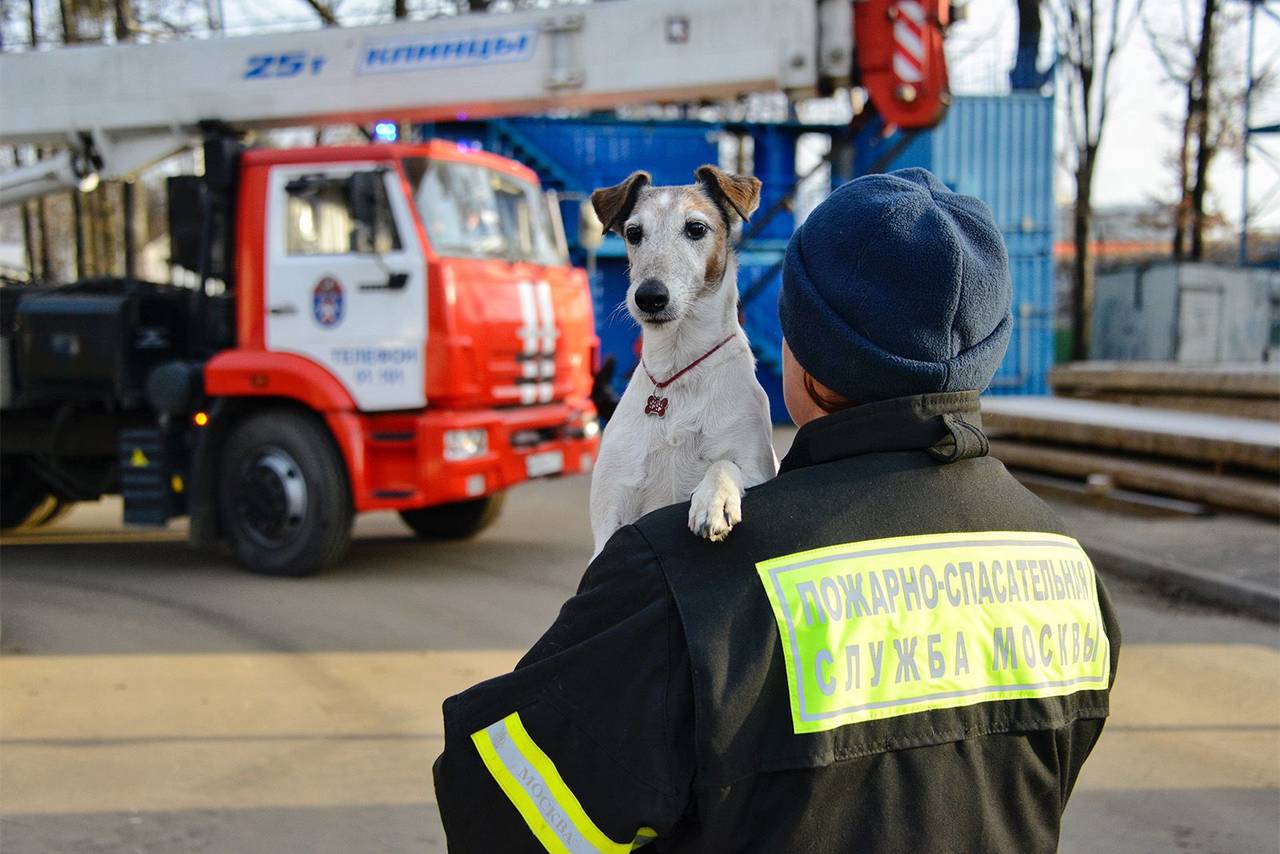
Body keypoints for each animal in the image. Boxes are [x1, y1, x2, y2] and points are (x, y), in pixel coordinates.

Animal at [586, 165, 773, 560]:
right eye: (633, 233)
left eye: (696, 228)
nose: (649, 296)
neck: (676, 375)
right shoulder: (610, 514)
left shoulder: (758, 467)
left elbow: (723, 464)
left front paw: (713, 501)